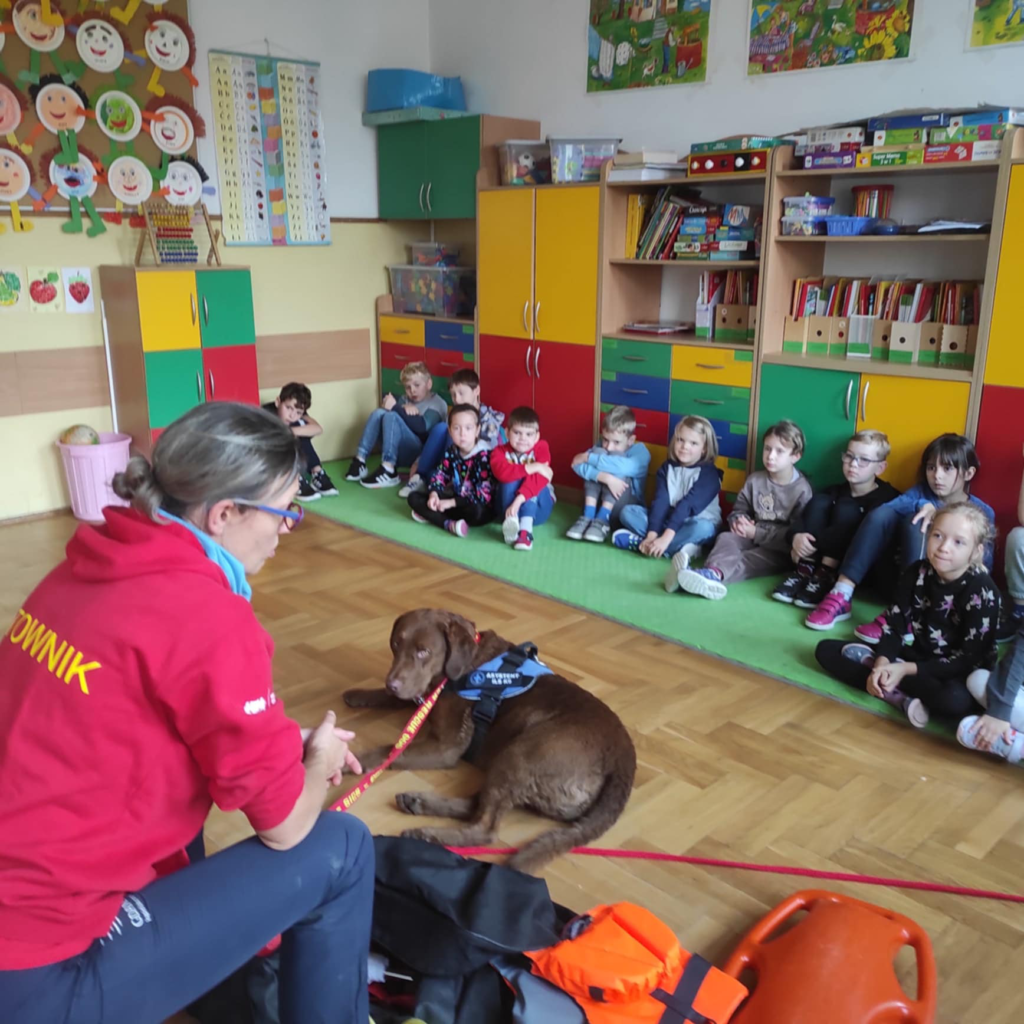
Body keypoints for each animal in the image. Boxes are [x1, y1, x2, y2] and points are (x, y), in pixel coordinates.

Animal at [344, 606, 630, 872]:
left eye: (423, 652)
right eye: (395, 644)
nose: (391, 683)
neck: (461, 667)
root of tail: (623, 759)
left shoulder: (446, 746)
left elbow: (390, 750)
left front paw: (352, 759)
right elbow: (395, 699)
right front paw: (359, 694)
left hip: (522, 753)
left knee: (485, 828)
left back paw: (426, 833)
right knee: (478, 805)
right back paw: (417, 803)